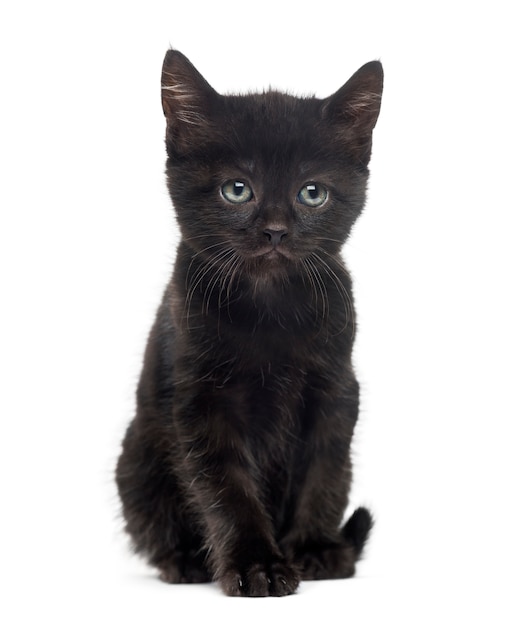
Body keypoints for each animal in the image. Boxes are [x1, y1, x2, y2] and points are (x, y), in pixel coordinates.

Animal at [116, 50, 382, 596]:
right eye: (237, 190)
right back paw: (184, 561)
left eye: (312, 193)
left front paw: (314, 550)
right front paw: (257, 565)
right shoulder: (201, 400)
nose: (276, 231)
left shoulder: (335, 390)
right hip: (136, 456)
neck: (270, 308)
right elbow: (227, 488)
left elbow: (324, 470)